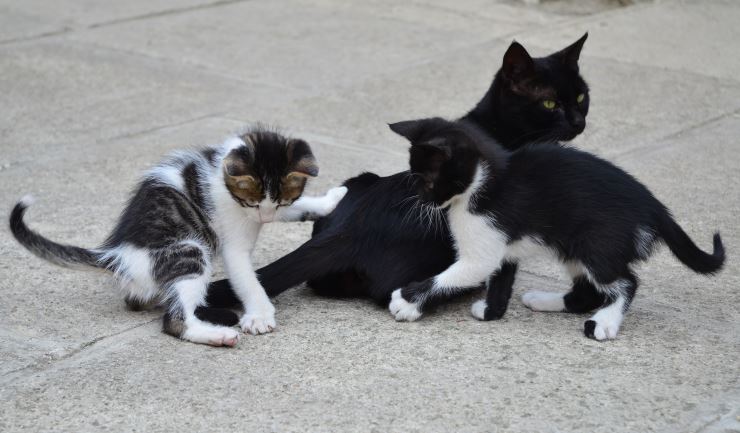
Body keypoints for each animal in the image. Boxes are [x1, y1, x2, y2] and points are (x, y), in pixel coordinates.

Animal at [10, 126, 346, 346]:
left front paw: (331, 199)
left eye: (279, 201)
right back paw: (217, 334)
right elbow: (247, 279)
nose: (263, 217)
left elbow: (298, 208)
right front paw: (260, 315)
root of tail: (118, 255)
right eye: (251, 201)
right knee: (174, 321)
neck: (222, 177)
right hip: (190, 251)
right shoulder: (233, 238)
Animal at [205, 33, 592, 310]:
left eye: (581, 97)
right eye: (549, 103)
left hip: (358, 179)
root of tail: (352, 229)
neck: (497, 130)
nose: (579, 122)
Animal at [390, 116, 724, 340]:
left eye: (427, 182)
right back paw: (545, 300)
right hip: (572, 246)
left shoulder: (484, 236)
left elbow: (458, 274)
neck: (485, 183)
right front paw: (492, 311)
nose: (420, 198)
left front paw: (408, 301)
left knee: (626, 282)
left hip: (598, 242)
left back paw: (604, 323)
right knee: (588, 292)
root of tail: (654, 206)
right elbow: (501, 275)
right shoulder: (502, 243)